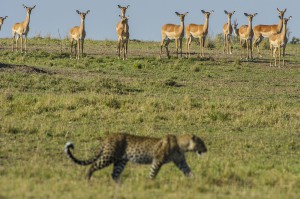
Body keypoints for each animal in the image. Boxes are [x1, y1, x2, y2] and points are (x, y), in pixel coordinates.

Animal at [64, 133, 207, 183]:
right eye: (202, 143)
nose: (206, 149)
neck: (182, 146)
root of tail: (108, 136)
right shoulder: (158, 160)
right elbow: (153, 172)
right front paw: (150, 183)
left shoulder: (180, 162)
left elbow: (188, 171)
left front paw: (195, 180)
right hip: (108, 156)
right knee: (92, 166)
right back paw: (88, 180)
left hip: (121, 161)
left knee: (114, 174)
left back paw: (121, 184)